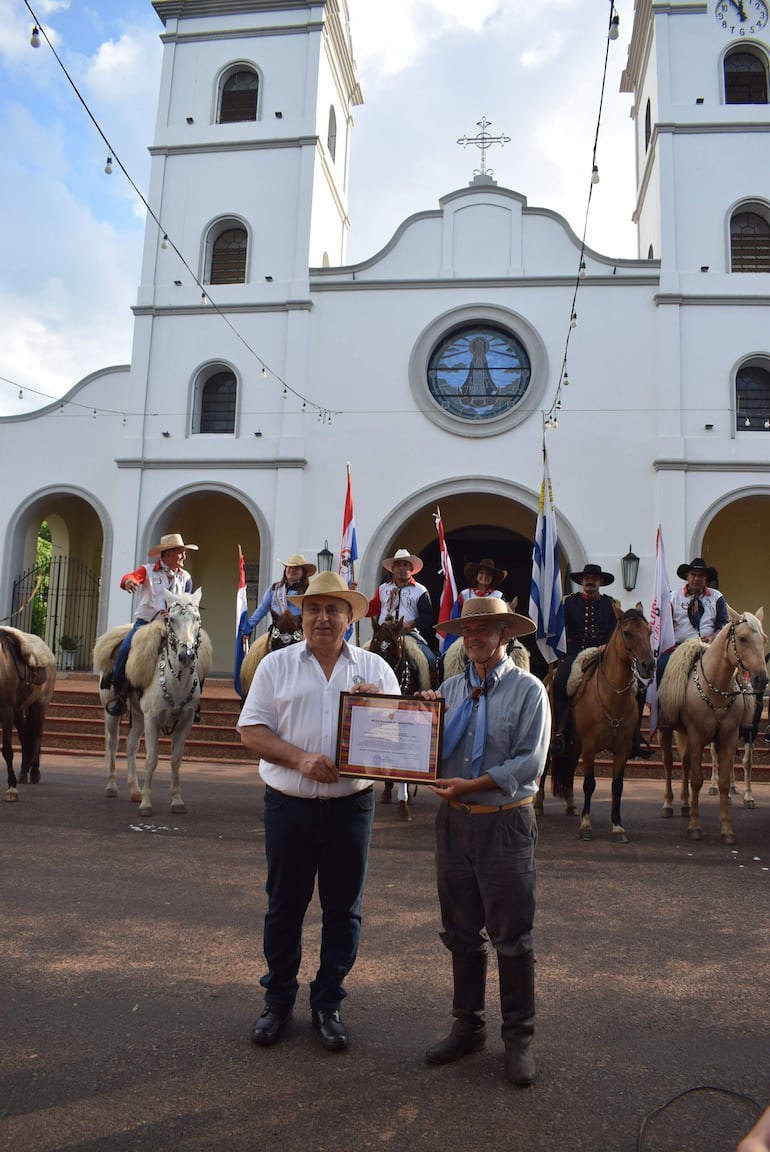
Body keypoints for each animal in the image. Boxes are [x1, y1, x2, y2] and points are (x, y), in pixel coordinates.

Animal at [92, 585, 213, 820]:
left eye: (197, 619)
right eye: (171, 619)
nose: (186, 655)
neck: (176, 681)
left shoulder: (184, 722)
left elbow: (175, 760)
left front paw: (177, 801)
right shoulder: (153, 720)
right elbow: (151, 759)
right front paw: (147, 805)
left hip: (139, 716)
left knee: (131, 745)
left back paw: (134, 790)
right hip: (112, 712)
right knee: (112, 744)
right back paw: (112, 786)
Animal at [546, 608, 654, 843]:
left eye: (649, 632)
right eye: (627, 632)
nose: (648, 666)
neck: (613, 696)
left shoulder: (622, 749)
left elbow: (617, 786)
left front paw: (617, 825)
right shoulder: (589, 746)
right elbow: (589, 783)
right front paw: (586, 825)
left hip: (574, 745)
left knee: (568, 770)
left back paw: (571, 805)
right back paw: (539, 805)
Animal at [659, 608, 765, 843]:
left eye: (764, 639)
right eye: (742, 638)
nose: (761, 678)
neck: (716, 690)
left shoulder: (730, 736)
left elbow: (725, 780)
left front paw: (726, 829)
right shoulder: (697, 736)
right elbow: (697, 780)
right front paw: (694, 827)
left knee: (685, 762)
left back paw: (685, 803)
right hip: (667, 729)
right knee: (669, 763)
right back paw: (668, 803)